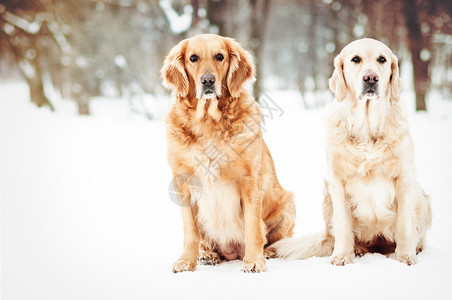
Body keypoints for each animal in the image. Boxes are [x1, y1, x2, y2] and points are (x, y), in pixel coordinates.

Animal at [161, 34, 294, 274]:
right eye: (193, 58)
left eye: (219, 56)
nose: (207, 81)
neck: (208, 122)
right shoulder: (183, 183)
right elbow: (190, 231)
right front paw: (186, 261)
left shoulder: (249, 182)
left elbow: (253, 227)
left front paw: (254, 260)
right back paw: (208, 255)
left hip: (288, 202)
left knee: (275, 238)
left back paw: (267, 252)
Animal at [270, 38, 432, 266]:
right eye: (356, 59)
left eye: (382, 59)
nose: (371, 78)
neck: (367, 130)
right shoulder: (337, 182)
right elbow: (343, 227)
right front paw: (342, 256)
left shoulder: (404, 179)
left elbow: (404, 226)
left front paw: (405, 257)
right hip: (326, 198)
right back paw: (358, 249)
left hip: (422, 199)